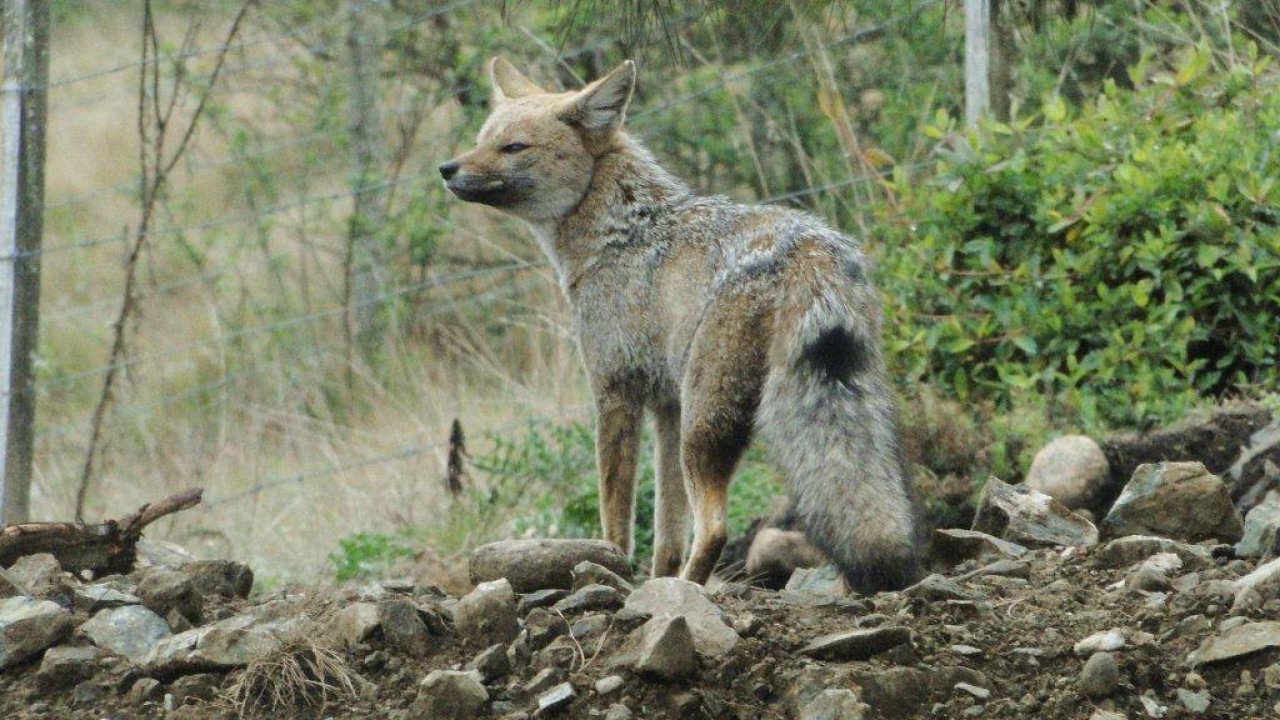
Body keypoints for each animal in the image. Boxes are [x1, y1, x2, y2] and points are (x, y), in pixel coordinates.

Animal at [440, 58, 921, 591]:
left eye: (514, 147)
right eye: (481, 140)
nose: (447, 168)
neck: (621, 233)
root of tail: (811, 247)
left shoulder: (615, 392)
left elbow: (616, 517)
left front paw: (613, 568)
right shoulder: (665, 407)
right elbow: (666, 536)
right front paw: (653, 582)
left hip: (703, 423)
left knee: (715, 529)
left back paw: (691, 587)